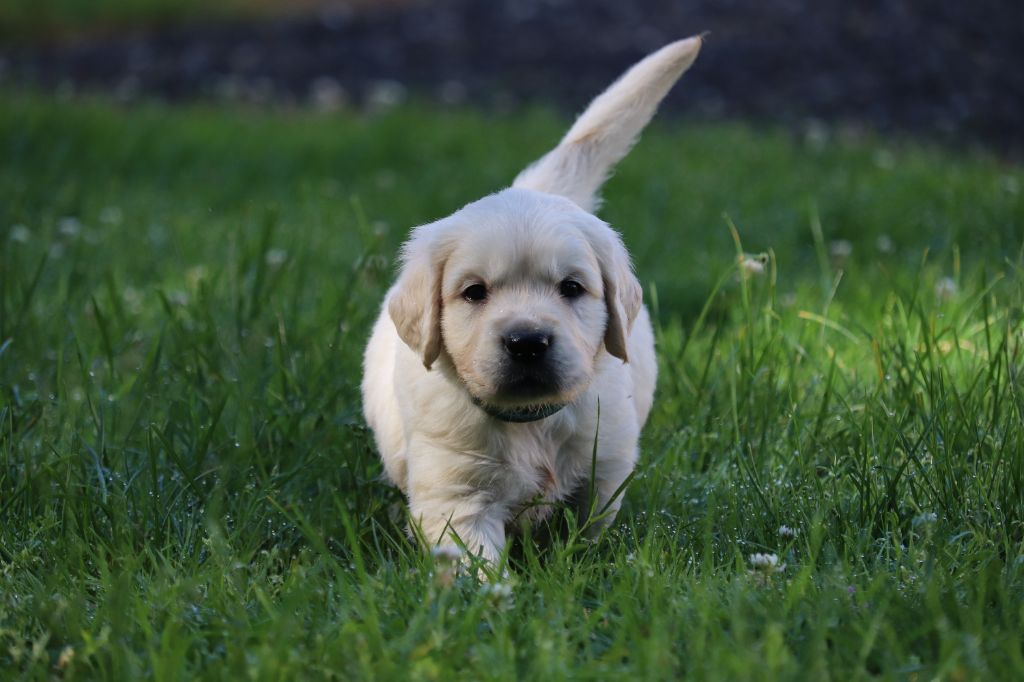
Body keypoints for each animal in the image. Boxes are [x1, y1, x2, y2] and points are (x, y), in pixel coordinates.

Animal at [362, 34, 704, 561]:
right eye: (474, 292)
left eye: (572, 288)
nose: (527, 342)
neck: (529, 422)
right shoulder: (456, 497)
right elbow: (475, 563)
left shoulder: (603, 471)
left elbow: (583, 537)